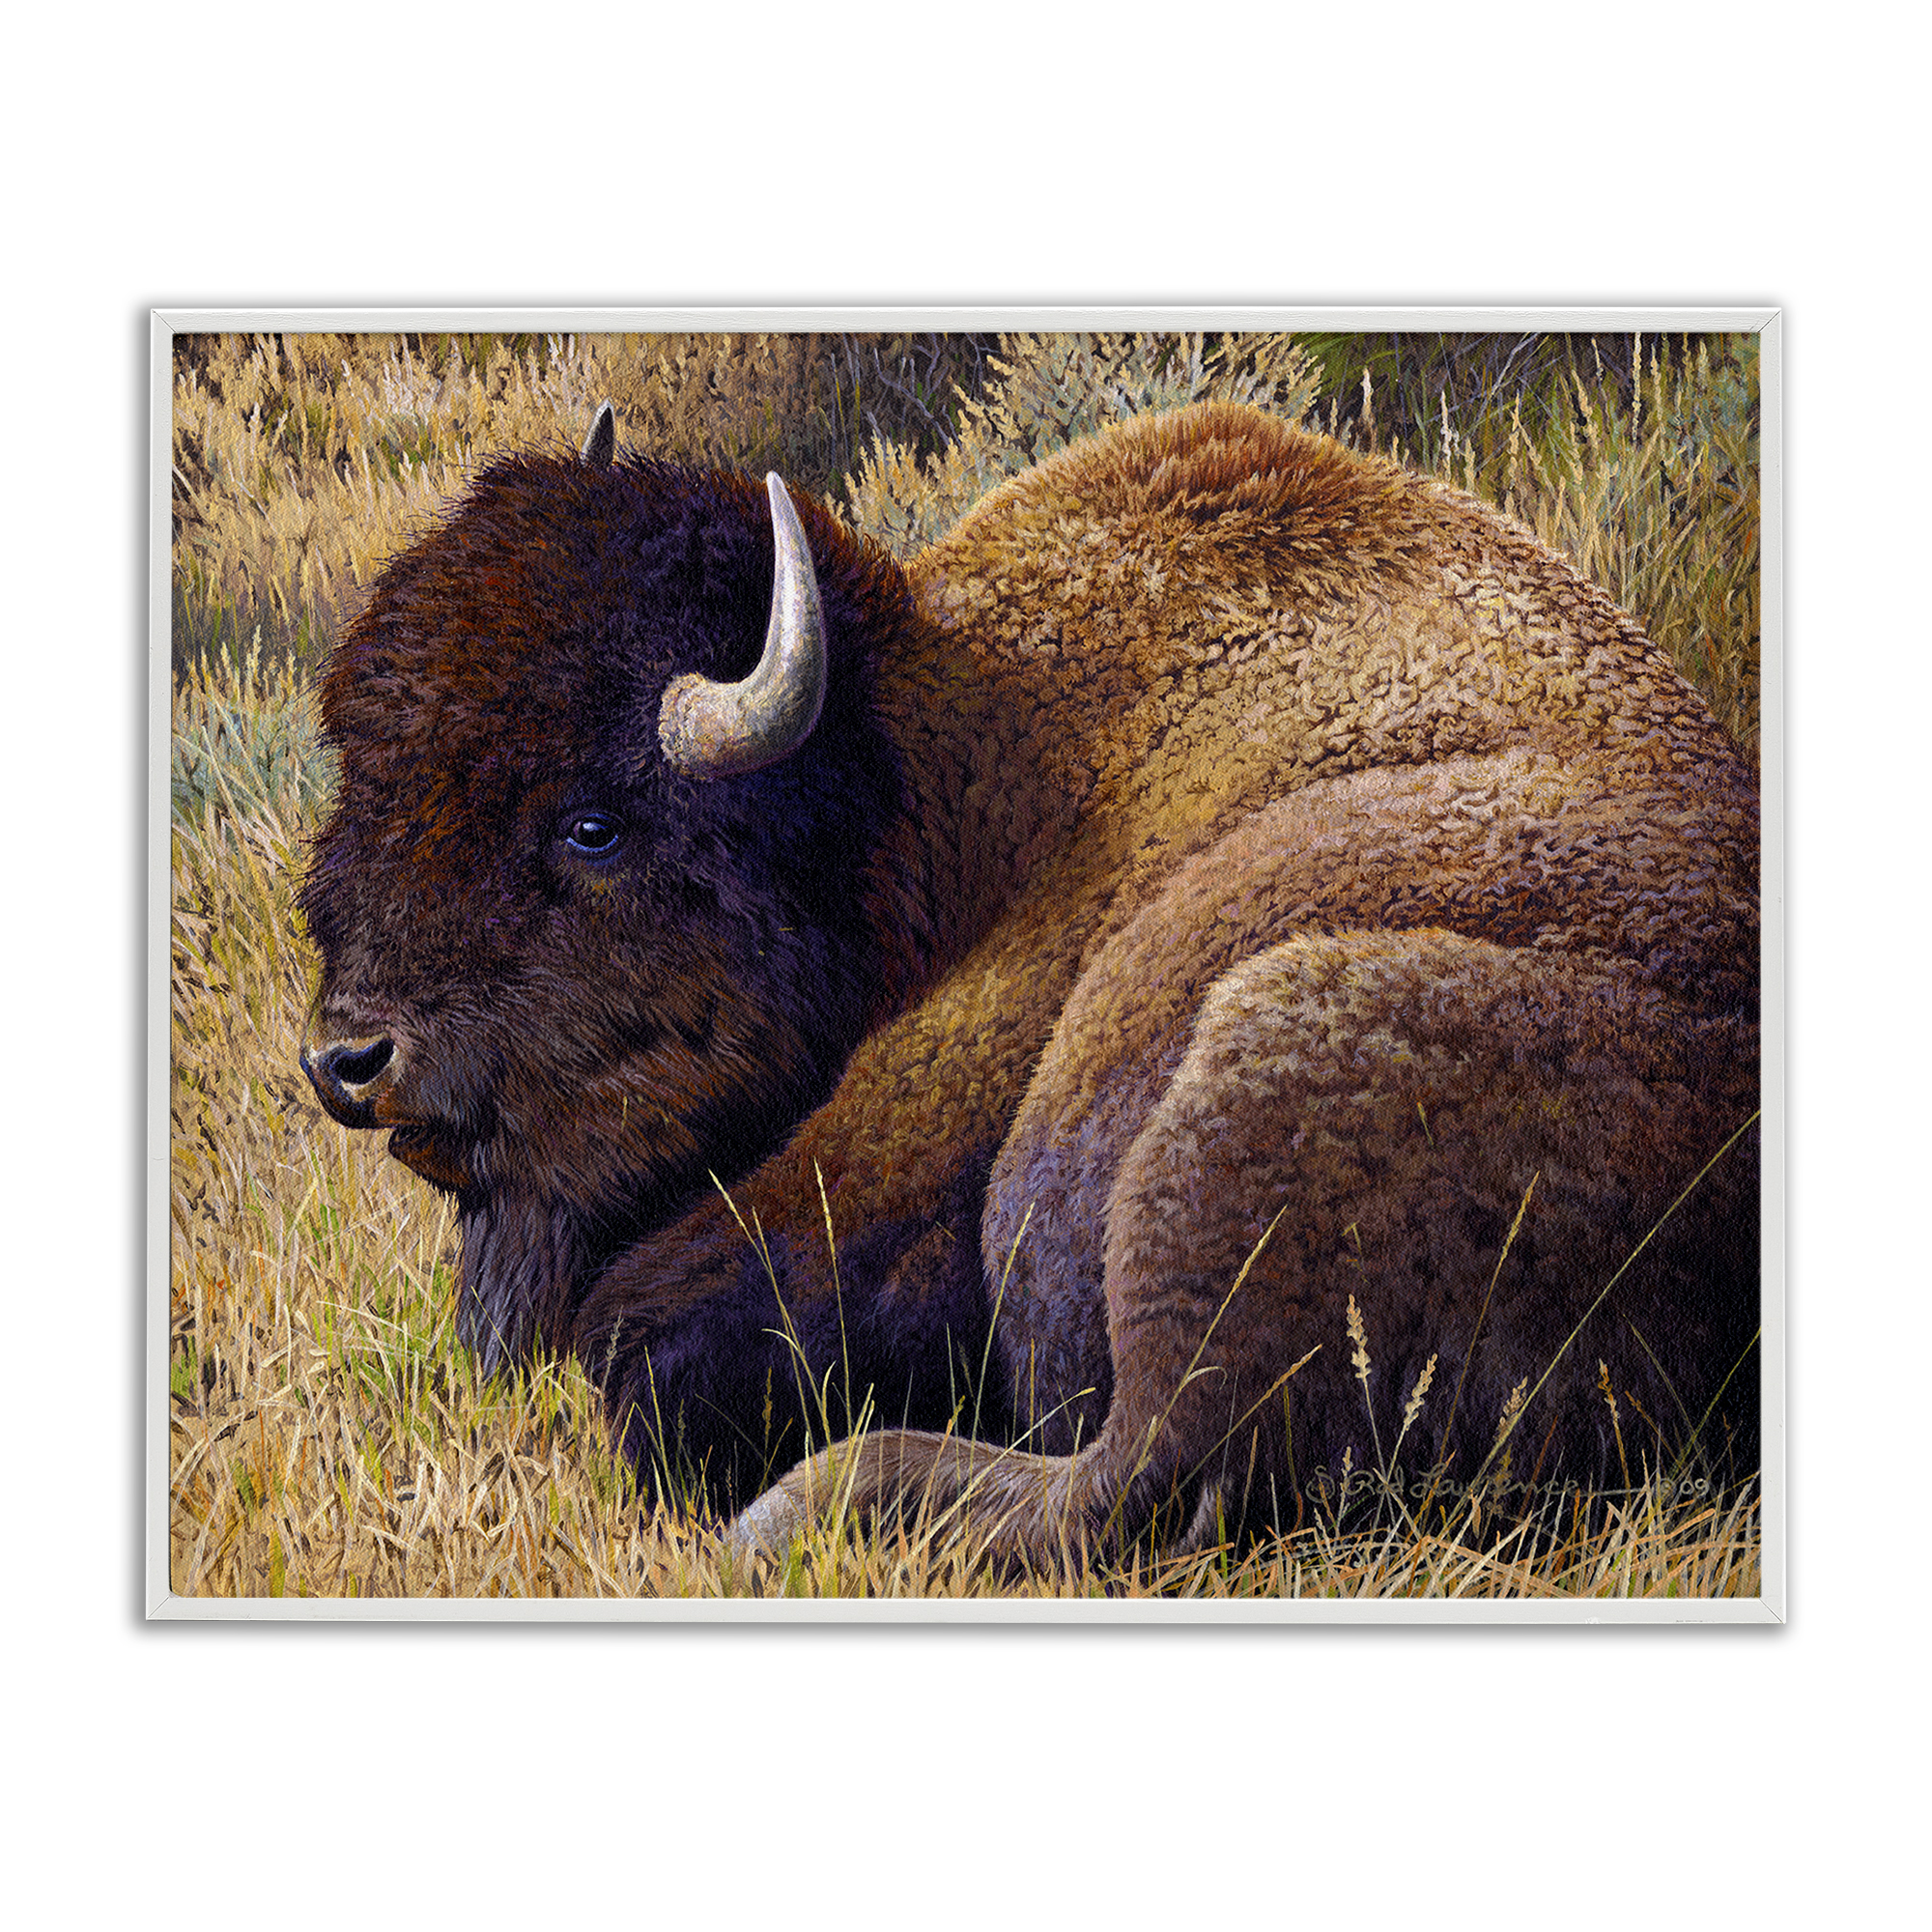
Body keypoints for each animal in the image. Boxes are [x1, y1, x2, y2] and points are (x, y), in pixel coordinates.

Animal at [300, 398, 1759, 1568]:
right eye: (366, 775)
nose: (348, 1061)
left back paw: (777, 1518)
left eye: (594, 826)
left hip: (1259, 1059)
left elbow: (642, 1335)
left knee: (1125, 1479)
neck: (945, 781)